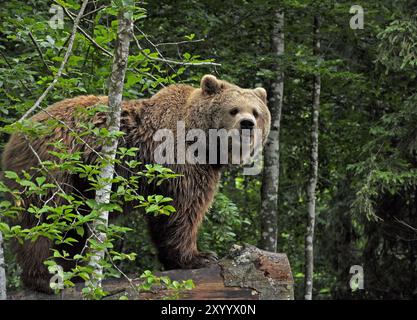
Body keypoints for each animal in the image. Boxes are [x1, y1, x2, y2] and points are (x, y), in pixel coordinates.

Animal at [0, 74, 270, 292]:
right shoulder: (178, 159)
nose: (247, 124)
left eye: (256, 112)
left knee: (72, 224)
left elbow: (166, 216)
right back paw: (46, 278)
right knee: (45, 217)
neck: (204, 144)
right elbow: (184, 209)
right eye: (233, 109)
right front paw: (200, 256)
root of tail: (16, 132)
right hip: (53, 164)